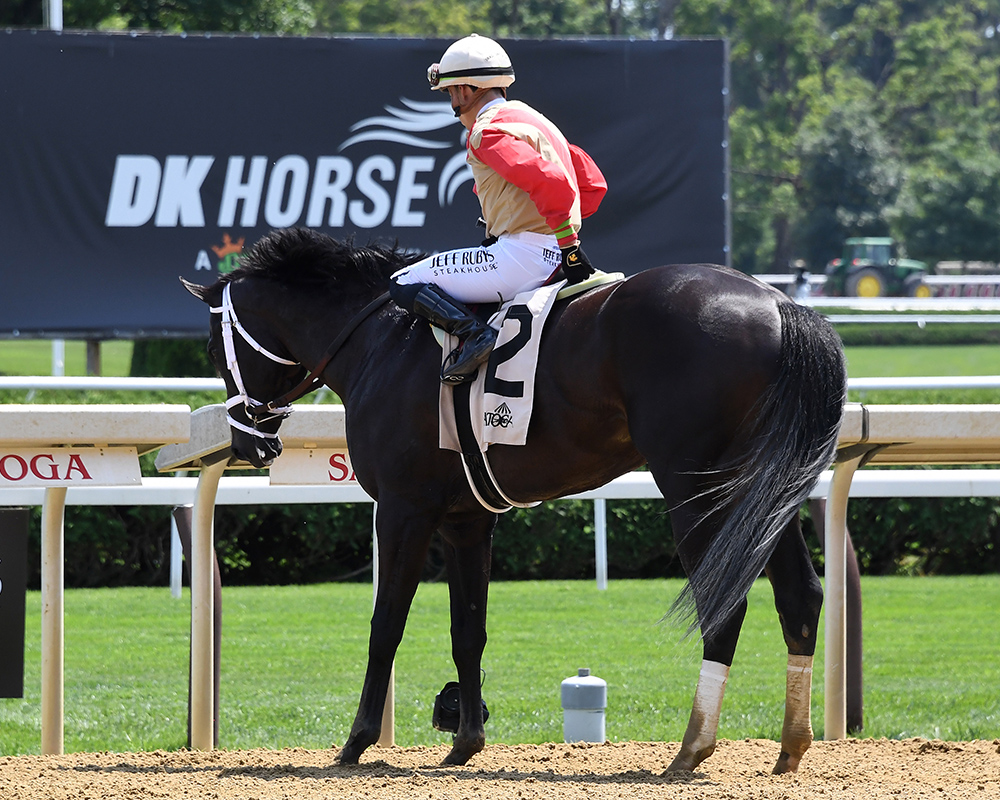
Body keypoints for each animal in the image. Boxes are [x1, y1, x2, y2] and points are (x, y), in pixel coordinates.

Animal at [186, 227, 844, 776]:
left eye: (215, 350)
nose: (251, 441)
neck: (384, 340)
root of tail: (777, 303)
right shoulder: (465, 520)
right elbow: (468, 628)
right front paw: (464, 742)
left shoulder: (404, 508)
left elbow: (386, 622)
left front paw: (356, 741)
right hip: (762, 490)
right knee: (800, 595)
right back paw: (791, 746)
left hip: (695, 487)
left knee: (723, 605)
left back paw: (691, 748)